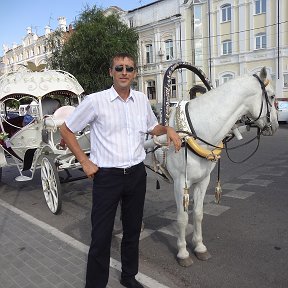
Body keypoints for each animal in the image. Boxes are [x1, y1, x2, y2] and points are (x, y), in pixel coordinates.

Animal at [147, 64, 278, 266]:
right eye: (271, 96)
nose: (276, 125)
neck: (192, 133)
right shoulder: (181, 183)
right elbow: (182, 217)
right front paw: (183, 252)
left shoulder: (203, 181)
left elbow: (198, 214)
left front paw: (199, 247)